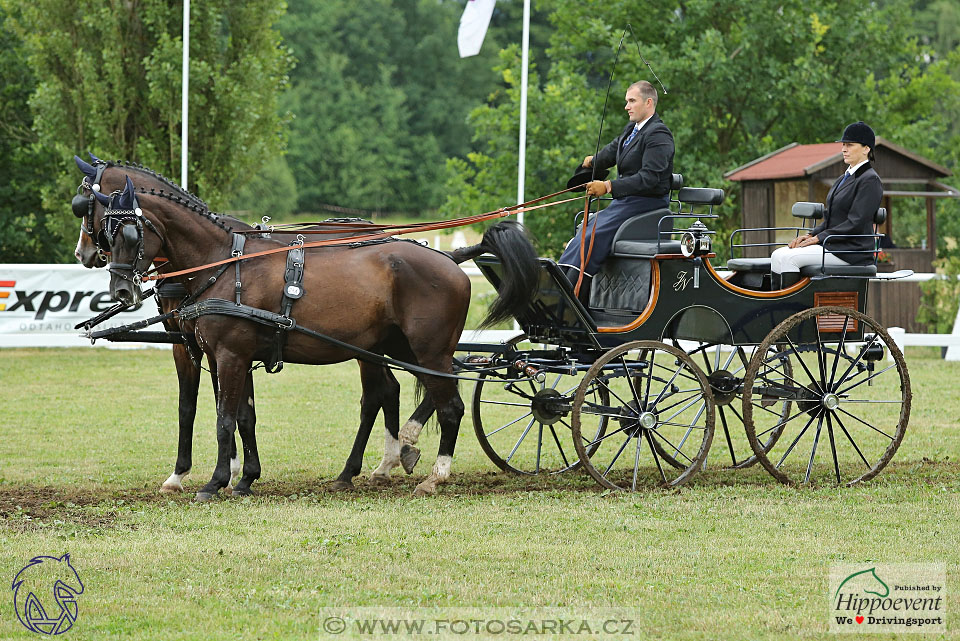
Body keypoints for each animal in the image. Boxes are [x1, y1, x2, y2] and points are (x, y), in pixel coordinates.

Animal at [91, 176, 540, 500]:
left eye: (129, 235)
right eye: (105, 233)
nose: (120, 291)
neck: (222, 265)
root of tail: (451, 257)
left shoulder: (230, 355)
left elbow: (223, 419)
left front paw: (215, 482)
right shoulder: (226, 356)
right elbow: (242, 417)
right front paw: (244, 478)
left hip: (428, 351)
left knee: (450, 406)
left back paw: (435, 474)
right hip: (399, 349)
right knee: (406, 394)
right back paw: (383, 460)